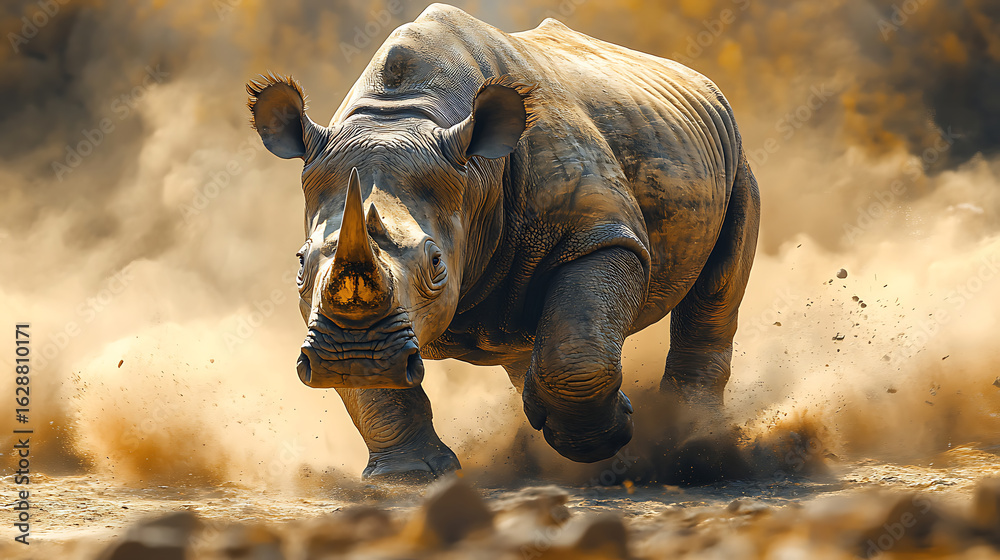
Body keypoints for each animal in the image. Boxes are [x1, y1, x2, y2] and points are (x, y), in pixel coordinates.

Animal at [246, 4, 759, 481]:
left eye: (437, 263)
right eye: (300, 263)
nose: (351, 357)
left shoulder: (603, 234)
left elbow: (578, 349)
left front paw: (601, 438)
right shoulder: (334, 308)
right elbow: (379, 391)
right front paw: (409, 478)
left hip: (736, 154)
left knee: (718, 284)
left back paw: (692, 443)